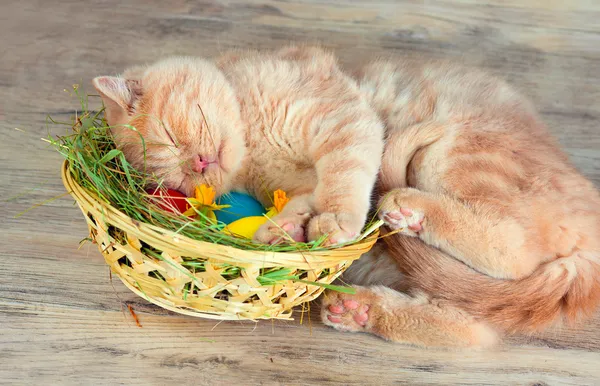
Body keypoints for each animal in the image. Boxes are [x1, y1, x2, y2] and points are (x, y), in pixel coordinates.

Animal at [92, 46, 384, 244]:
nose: (199, 164)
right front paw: (282, 229)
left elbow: (342, 173)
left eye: (168, 135)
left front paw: (334, 218)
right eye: (177, 182)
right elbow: (304, 199)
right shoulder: (296, 185)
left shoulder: (341, 119)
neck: (251, 144)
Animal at [322, 58, 600, 348]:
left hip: (449, 155)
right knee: (467, 328)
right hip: (465, 293)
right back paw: (357, 310)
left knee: (514, 248)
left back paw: (409, 209)